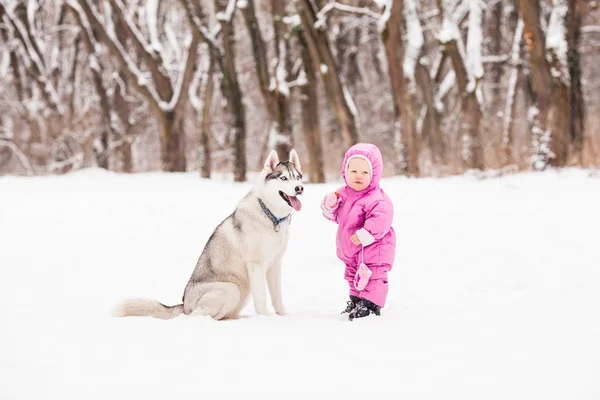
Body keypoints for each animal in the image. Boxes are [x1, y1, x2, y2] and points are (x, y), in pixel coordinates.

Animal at [114, 148, 304, 320]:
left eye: (297, 177)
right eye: (283, 178)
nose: (299, 188)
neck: (271, 217)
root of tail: (184, 305)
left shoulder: (275, 265)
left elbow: (277, 296)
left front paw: (282, 316)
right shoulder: (256, 266)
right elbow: (262, 298)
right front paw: (265, 318)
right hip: (231, 289)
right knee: (196, 316)